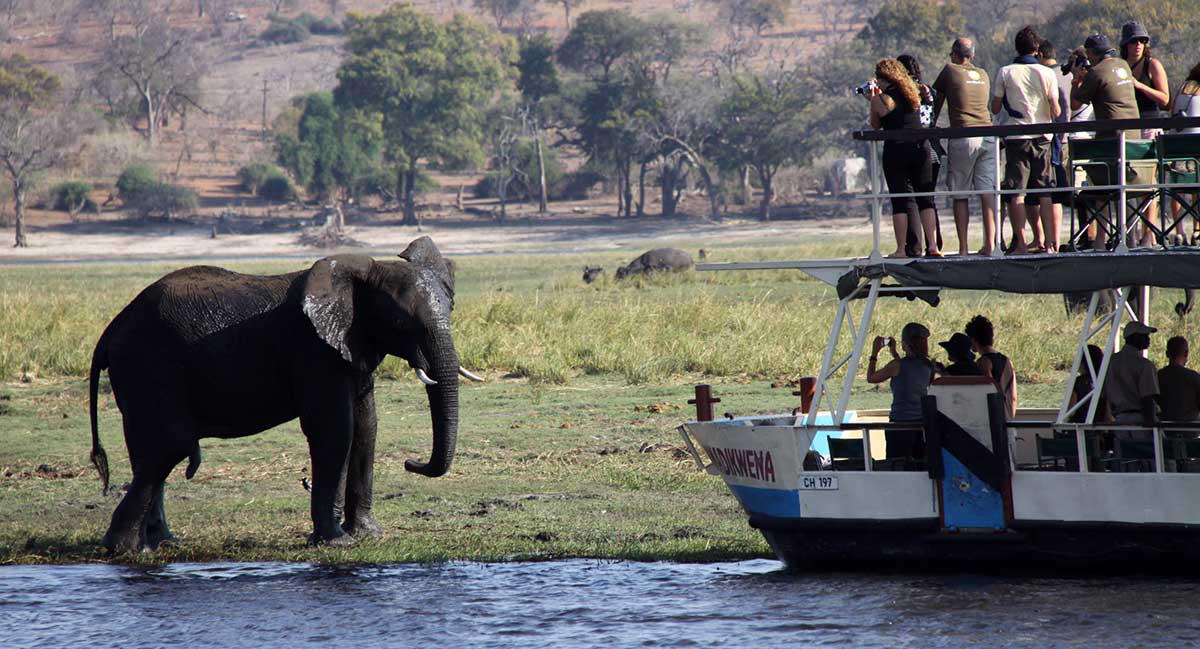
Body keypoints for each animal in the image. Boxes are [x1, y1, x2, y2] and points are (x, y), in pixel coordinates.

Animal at [87, 237, 480, 553]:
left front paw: (368, 535)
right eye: (400, 323)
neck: (361, 276)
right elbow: (336, 430)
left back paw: (162, 543)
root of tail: (112, 329)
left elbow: (367, 426)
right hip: (148, 367)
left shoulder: (351, 344)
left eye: (451, 307)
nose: (411, 463)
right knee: (166, 448)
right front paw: (336, 542)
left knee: (150, 453)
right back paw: (127, 549)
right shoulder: (312, 351)